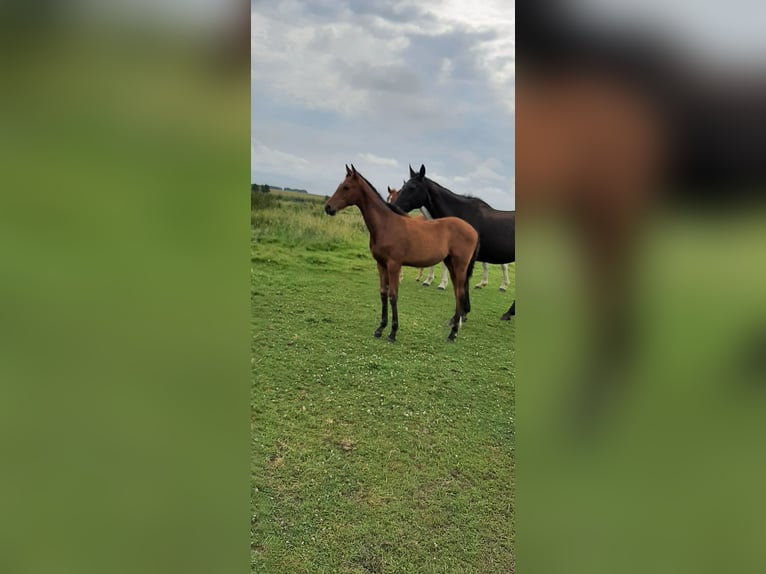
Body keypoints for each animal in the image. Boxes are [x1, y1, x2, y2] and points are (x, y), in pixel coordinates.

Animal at [325, 164, 479, 342]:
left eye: (346, 187)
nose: (328, 207)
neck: (386, 224)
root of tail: (473, 230)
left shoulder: (394, 264)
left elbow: (393, 295)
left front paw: (392, 332)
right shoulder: (381, 264)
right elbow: (383, 293)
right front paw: (380, 328)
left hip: (460, 266)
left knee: (460, 293)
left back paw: (453, 333)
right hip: (451, 263)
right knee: (457, 293)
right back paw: (454, 327)